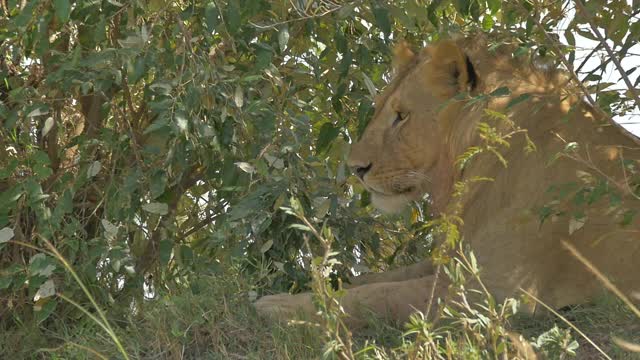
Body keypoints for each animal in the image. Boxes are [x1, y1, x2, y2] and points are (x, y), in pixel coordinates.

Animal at [255, 34, 640, 330]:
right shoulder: (453, 257)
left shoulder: (494, 293)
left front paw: (276, 306)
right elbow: (371, 279)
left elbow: (375, 296)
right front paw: (313, 283)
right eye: (380, 108)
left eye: (401, 116)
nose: (356, 168)